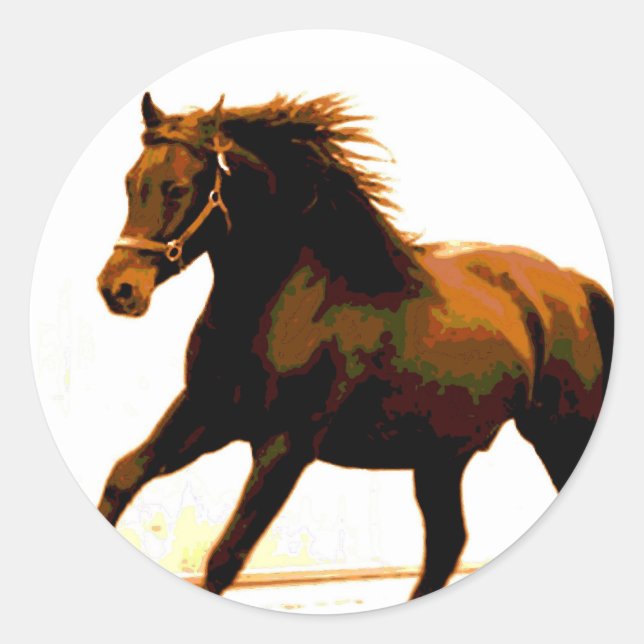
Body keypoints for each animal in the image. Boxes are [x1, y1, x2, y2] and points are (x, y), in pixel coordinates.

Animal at [97, 91, 613, 600]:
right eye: (130, 182)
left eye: (177, 188)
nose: (117, 289)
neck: (285, 304)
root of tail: (573, 282)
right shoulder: (205, 412)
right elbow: (122, 477)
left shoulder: (285, 444)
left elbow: (226, 557)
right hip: (441, 456)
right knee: (447, 543)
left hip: (559, 433)